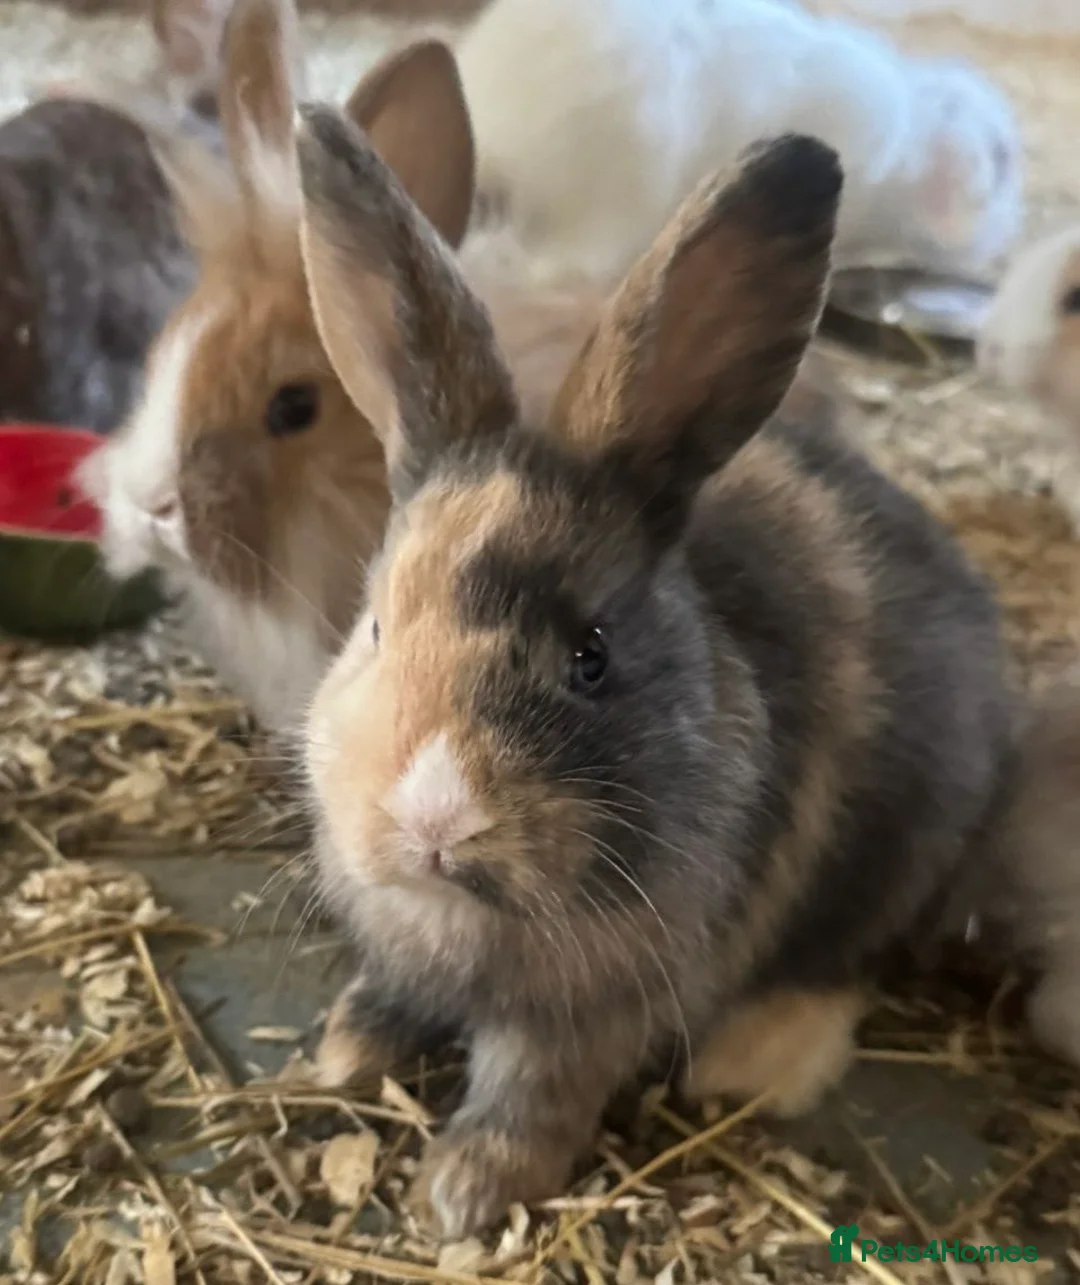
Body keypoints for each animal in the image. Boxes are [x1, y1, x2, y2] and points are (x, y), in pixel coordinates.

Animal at [293, 103, 1016, 1239]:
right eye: (373, 627)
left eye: (591, 659)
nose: (436, 818)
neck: (466, 916)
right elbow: (393, 999)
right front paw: (346, 1050)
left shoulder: (590, 1013)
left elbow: (533, 1093)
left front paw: (464, 1192)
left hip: (902, 844)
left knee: (845, 959)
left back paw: (751, 1059)